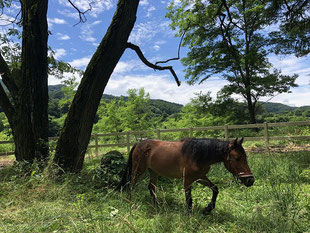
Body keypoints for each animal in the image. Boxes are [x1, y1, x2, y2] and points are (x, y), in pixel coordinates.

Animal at [118, 137, 254, 215]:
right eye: (237, 158)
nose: (250, 180)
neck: (198, 154)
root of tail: (138, 144)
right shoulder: (187, 180)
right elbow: (189, 200)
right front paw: (189, 216)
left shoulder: (200, 177)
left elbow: (215, 188)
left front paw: (208, 209)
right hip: (138, 170)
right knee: (131, 184)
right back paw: (131, 202)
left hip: (153, 171)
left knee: (151, 187)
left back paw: (157, 206)